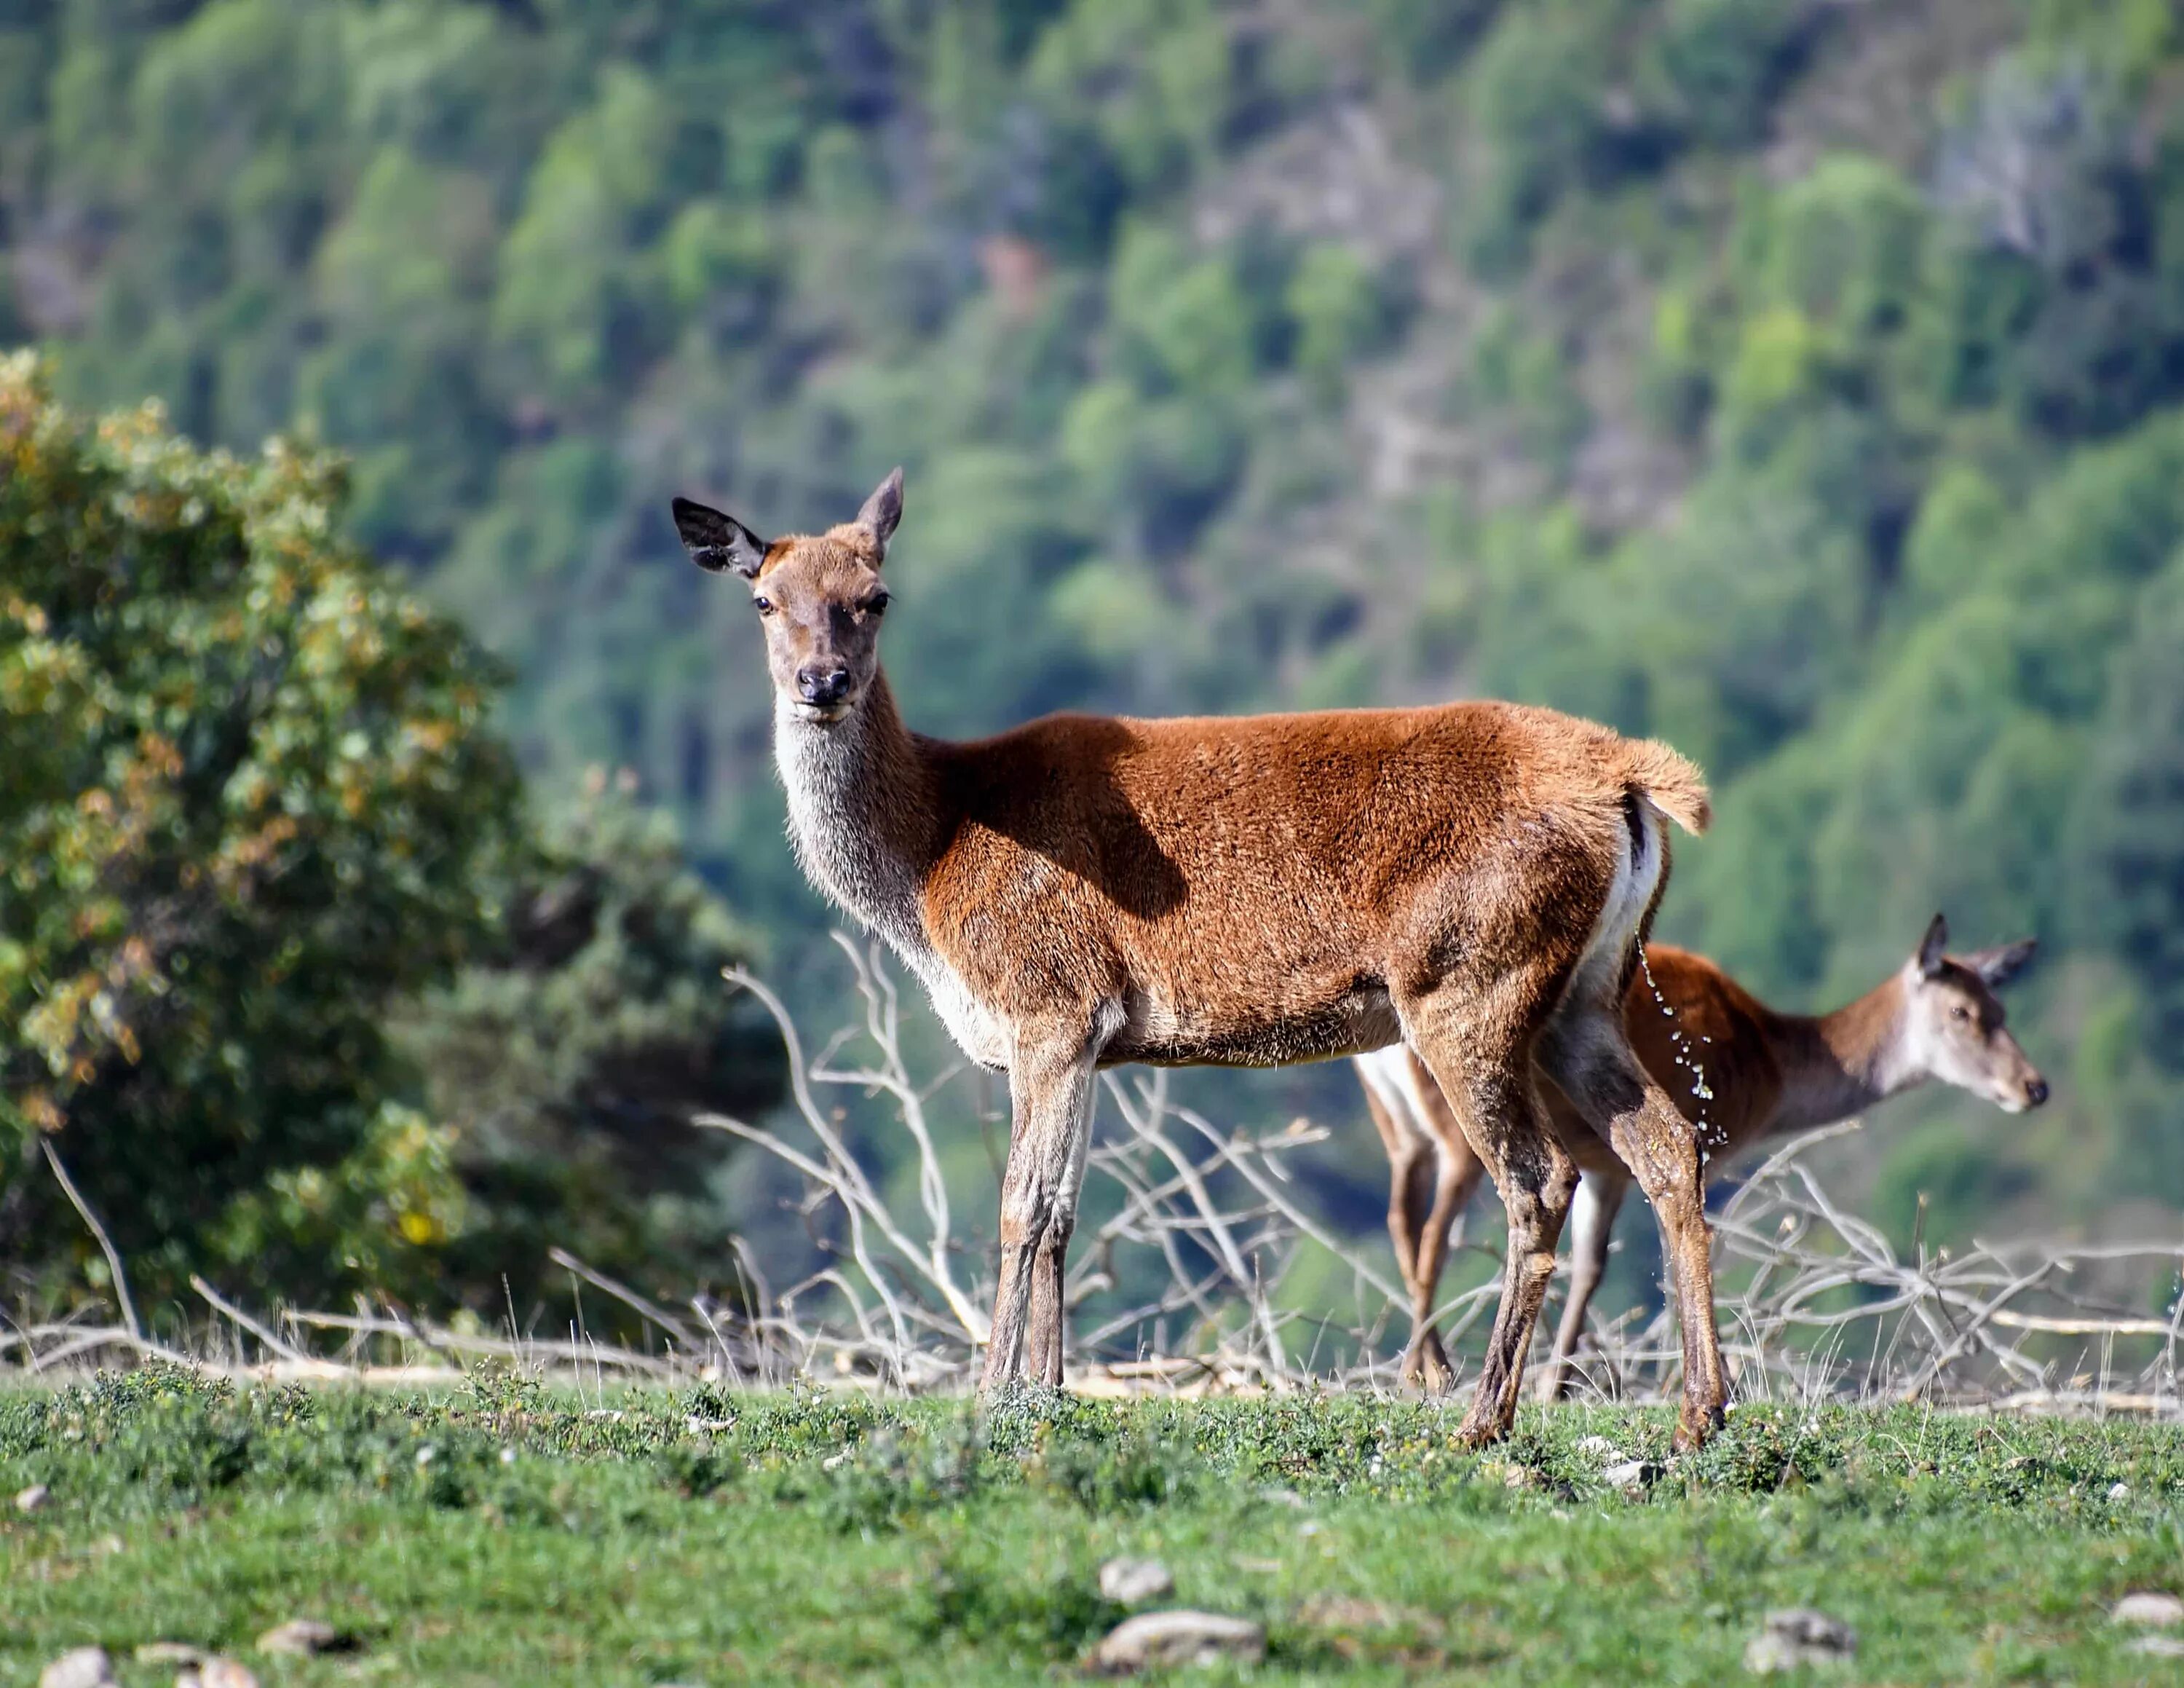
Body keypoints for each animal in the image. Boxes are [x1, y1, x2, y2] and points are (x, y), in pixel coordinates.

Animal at [673, 467, 1730, 1441]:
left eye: (877, 595)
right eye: (764, 598)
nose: (822, 683)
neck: (930, 865)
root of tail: (1631, 781)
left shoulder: (1047, 999)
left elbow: (1021, 1203)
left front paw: (989, 1393)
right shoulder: (1093, 1034)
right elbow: (1065, 1210)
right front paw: (1048, 1390)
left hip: (1467, 980)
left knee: (1543, 1176)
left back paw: (1485, 1418)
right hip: (1586, 989)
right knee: (1669, 1142)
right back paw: (1698, 1411)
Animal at [1354, 917, 2053, 1406]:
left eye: (2002, 1009)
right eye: (1963, 1013)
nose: (2034, 1086)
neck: (1768, 1073)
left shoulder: (1603, 1163)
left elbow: (1591, 1268)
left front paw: (1560, 1384)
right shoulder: (1705, 1143)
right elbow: (1663, 1254)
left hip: (1399, 1129)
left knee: (1400, 1221)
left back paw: (1420, 1364)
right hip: (1455, 1128)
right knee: (1434, 1236)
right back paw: (1432, 1371)